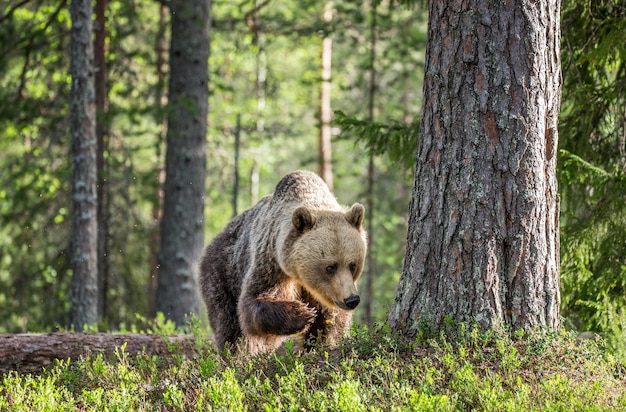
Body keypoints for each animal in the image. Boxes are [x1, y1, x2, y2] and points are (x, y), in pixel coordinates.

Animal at [200, 171, 366, 354]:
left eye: (352, 265)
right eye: (330, 267)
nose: (351, 300)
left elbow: (329, 321)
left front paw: (317, 345)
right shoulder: (272, 263)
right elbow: (253, 301)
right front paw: (302, 313)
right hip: (223, 273)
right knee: (228, 324)